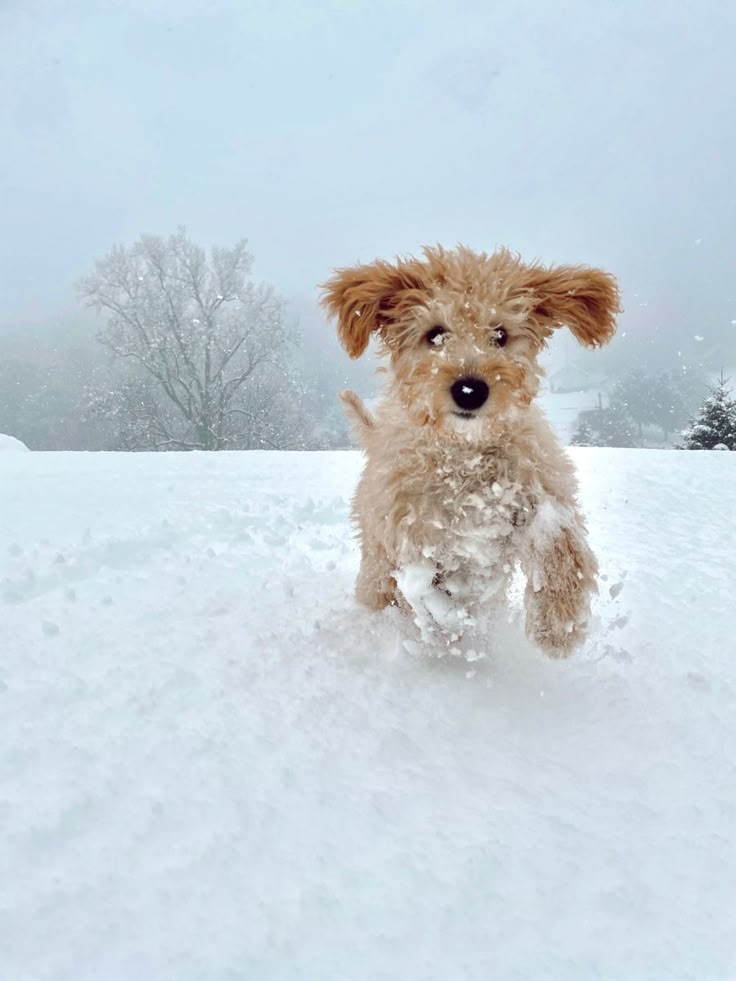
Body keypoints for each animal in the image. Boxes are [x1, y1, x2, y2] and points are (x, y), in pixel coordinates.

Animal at [322, 245, 620, 660]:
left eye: (501, 334)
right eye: (434, 333)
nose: (469, 390)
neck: (466, 457)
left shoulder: (540, 483)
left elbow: (557, 536)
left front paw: (558, 626)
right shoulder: (409, 529)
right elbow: (426, 592)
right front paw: (446, 630)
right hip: (375, 568)